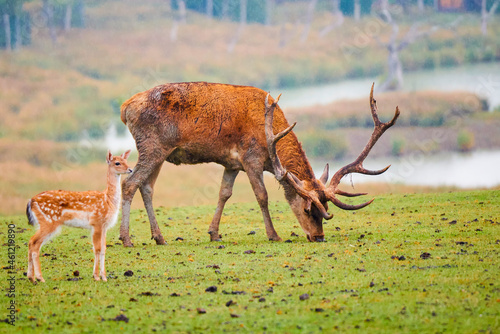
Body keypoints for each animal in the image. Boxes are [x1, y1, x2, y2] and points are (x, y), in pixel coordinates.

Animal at [26, 150, 132, 284]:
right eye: (117, 162)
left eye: (126, 161)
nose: (130, 169)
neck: (108, 200)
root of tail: (31, 201)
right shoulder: (96, 222)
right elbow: (97, 249)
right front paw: (96, 276)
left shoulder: (104, 226)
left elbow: (103, 249)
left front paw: (104, 277)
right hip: (48, 221)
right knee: (34, 243)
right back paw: (40, 278)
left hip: (44, 222)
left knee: (31, 242)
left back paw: (31, 277)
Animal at [118, 82, 398, 247]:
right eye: (308, 209)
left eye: (326, 210)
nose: (319, 237)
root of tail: (124, 108)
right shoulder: (250, 157)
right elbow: (261, 196)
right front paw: (273, 234)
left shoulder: (231, 164)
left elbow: (224, 194)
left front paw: (214, 233)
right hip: (152, 146)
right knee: (130, 183)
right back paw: (126, 238)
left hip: (161, 152)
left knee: (147, 187)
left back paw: (159, 237)